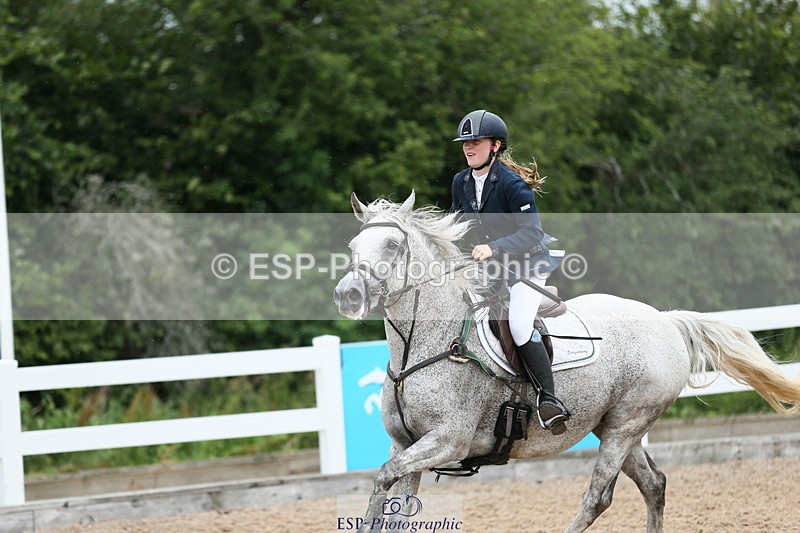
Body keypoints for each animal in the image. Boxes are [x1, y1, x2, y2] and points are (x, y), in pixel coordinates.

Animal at [333, 191, 800, 533]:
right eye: (353, 245)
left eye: (393, 244)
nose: (347, 295)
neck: (423, 345)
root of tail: (664, 319)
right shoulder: (406, 442)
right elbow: (389, 496)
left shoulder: (448, 440)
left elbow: (383, 479)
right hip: (615, 427)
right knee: (654, 485)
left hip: (626, 424)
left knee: (599, 496)